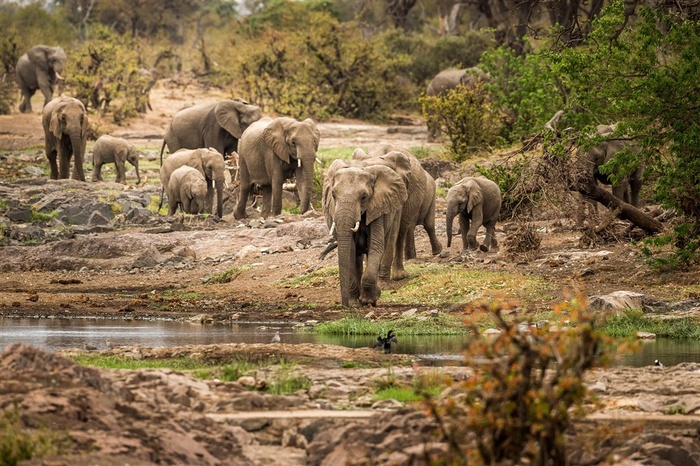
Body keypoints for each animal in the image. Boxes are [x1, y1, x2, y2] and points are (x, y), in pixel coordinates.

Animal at [322, 160, 408, 310]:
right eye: (333, 195)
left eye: (363, 197)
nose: (344, 306)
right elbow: (350, 250)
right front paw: (354, 304)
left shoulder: (378, 207)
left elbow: (376, 246)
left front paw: (369, 300)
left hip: (396, 209)